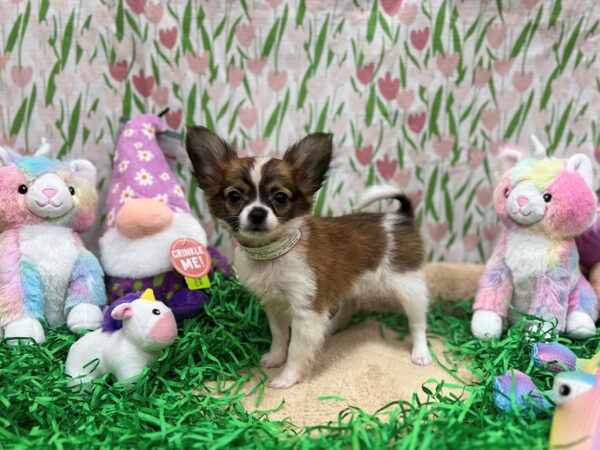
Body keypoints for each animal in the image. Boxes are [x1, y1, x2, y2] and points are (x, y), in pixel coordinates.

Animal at [184, 127, 432, 390]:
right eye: (234, 196)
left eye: (280, 197)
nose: (257, 213)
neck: (273, 253)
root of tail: (400, 217)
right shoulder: (275, 305)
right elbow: (279, 336)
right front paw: (275, 358)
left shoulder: (307, 309)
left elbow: (297, 349)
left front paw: (287, 378)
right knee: (350, 306)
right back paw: (331, 328)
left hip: (408, 285)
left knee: (418, 322)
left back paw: (420, 352)